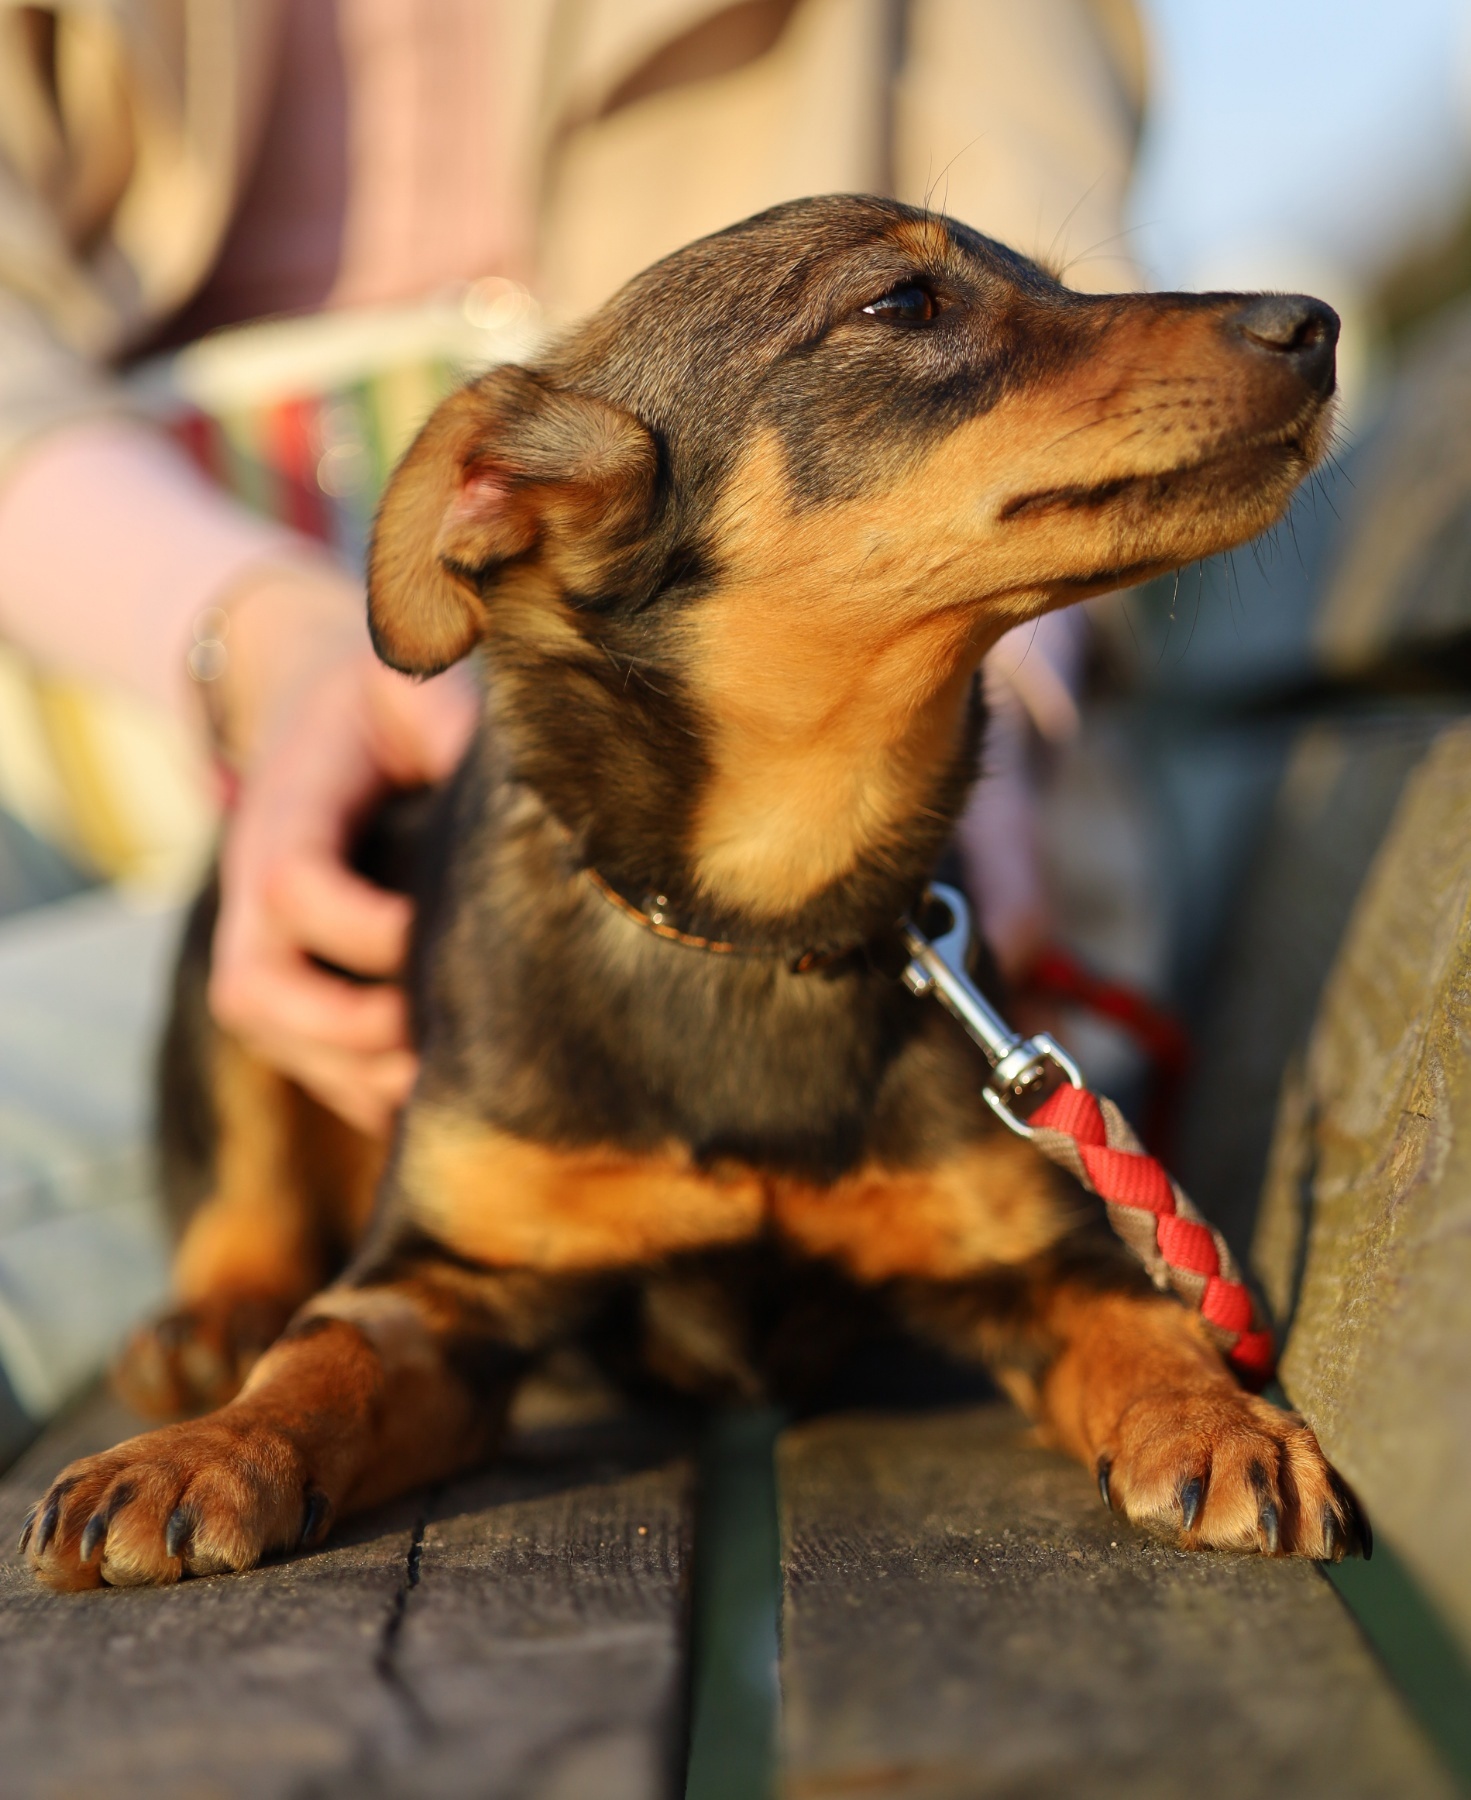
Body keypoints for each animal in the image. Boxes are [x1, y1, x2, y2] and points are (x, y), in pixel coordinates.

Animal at [23, 195, 1365, 1590]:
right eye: (902, 303)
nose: (1314, 325)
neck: (759, 916)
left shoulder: (1038, 1254)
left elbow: (1148, 1325)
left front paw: (1220, 1421)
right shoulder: (447, 1277)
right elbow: (319, 1354)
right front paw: (196, 1456)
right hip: (230, 940)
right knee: (244, 1185)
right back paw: (210, 1322)